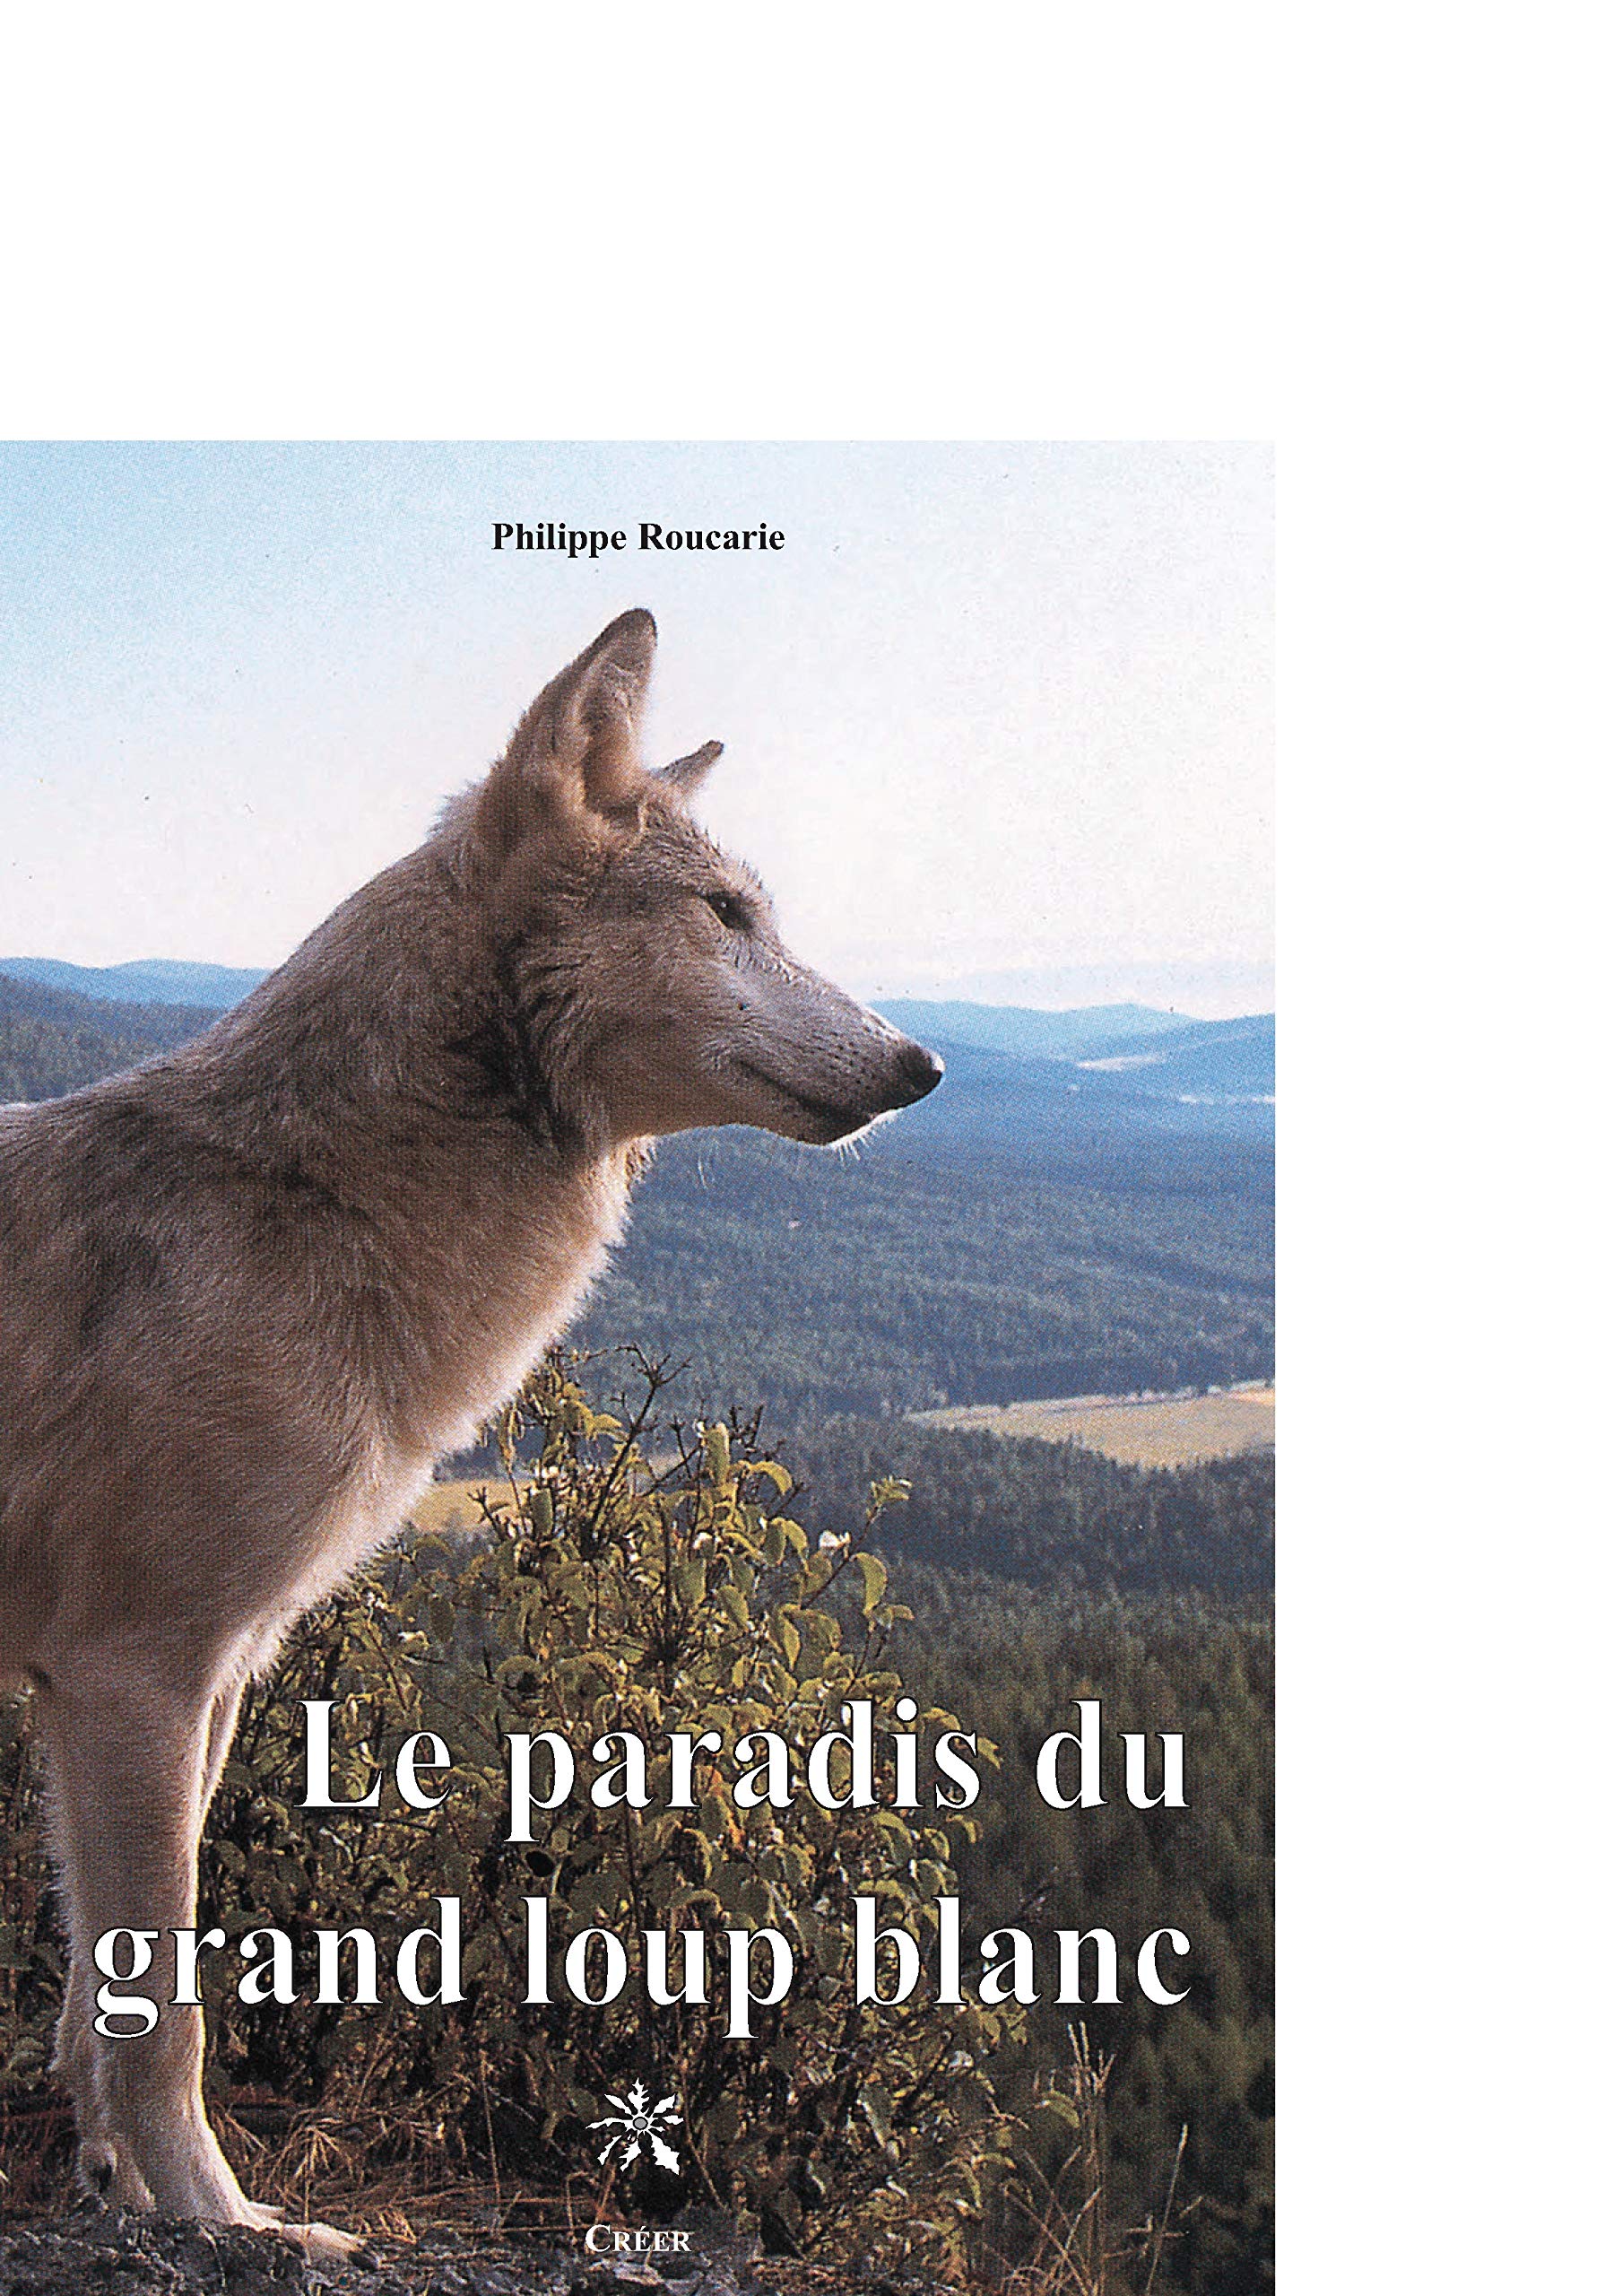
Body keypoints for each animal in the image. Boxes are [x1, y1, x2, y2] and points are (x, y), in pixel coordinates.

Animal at [0, 610, 941, 2253]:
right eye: (726, 914)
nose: (920, 1064)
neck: (311, 1207)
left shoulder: (194, 1684)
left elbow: (92, 2007)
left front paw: (118, 2185)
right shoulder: (137, 1677)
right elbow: (168, 2011)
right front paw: (232, 2224)